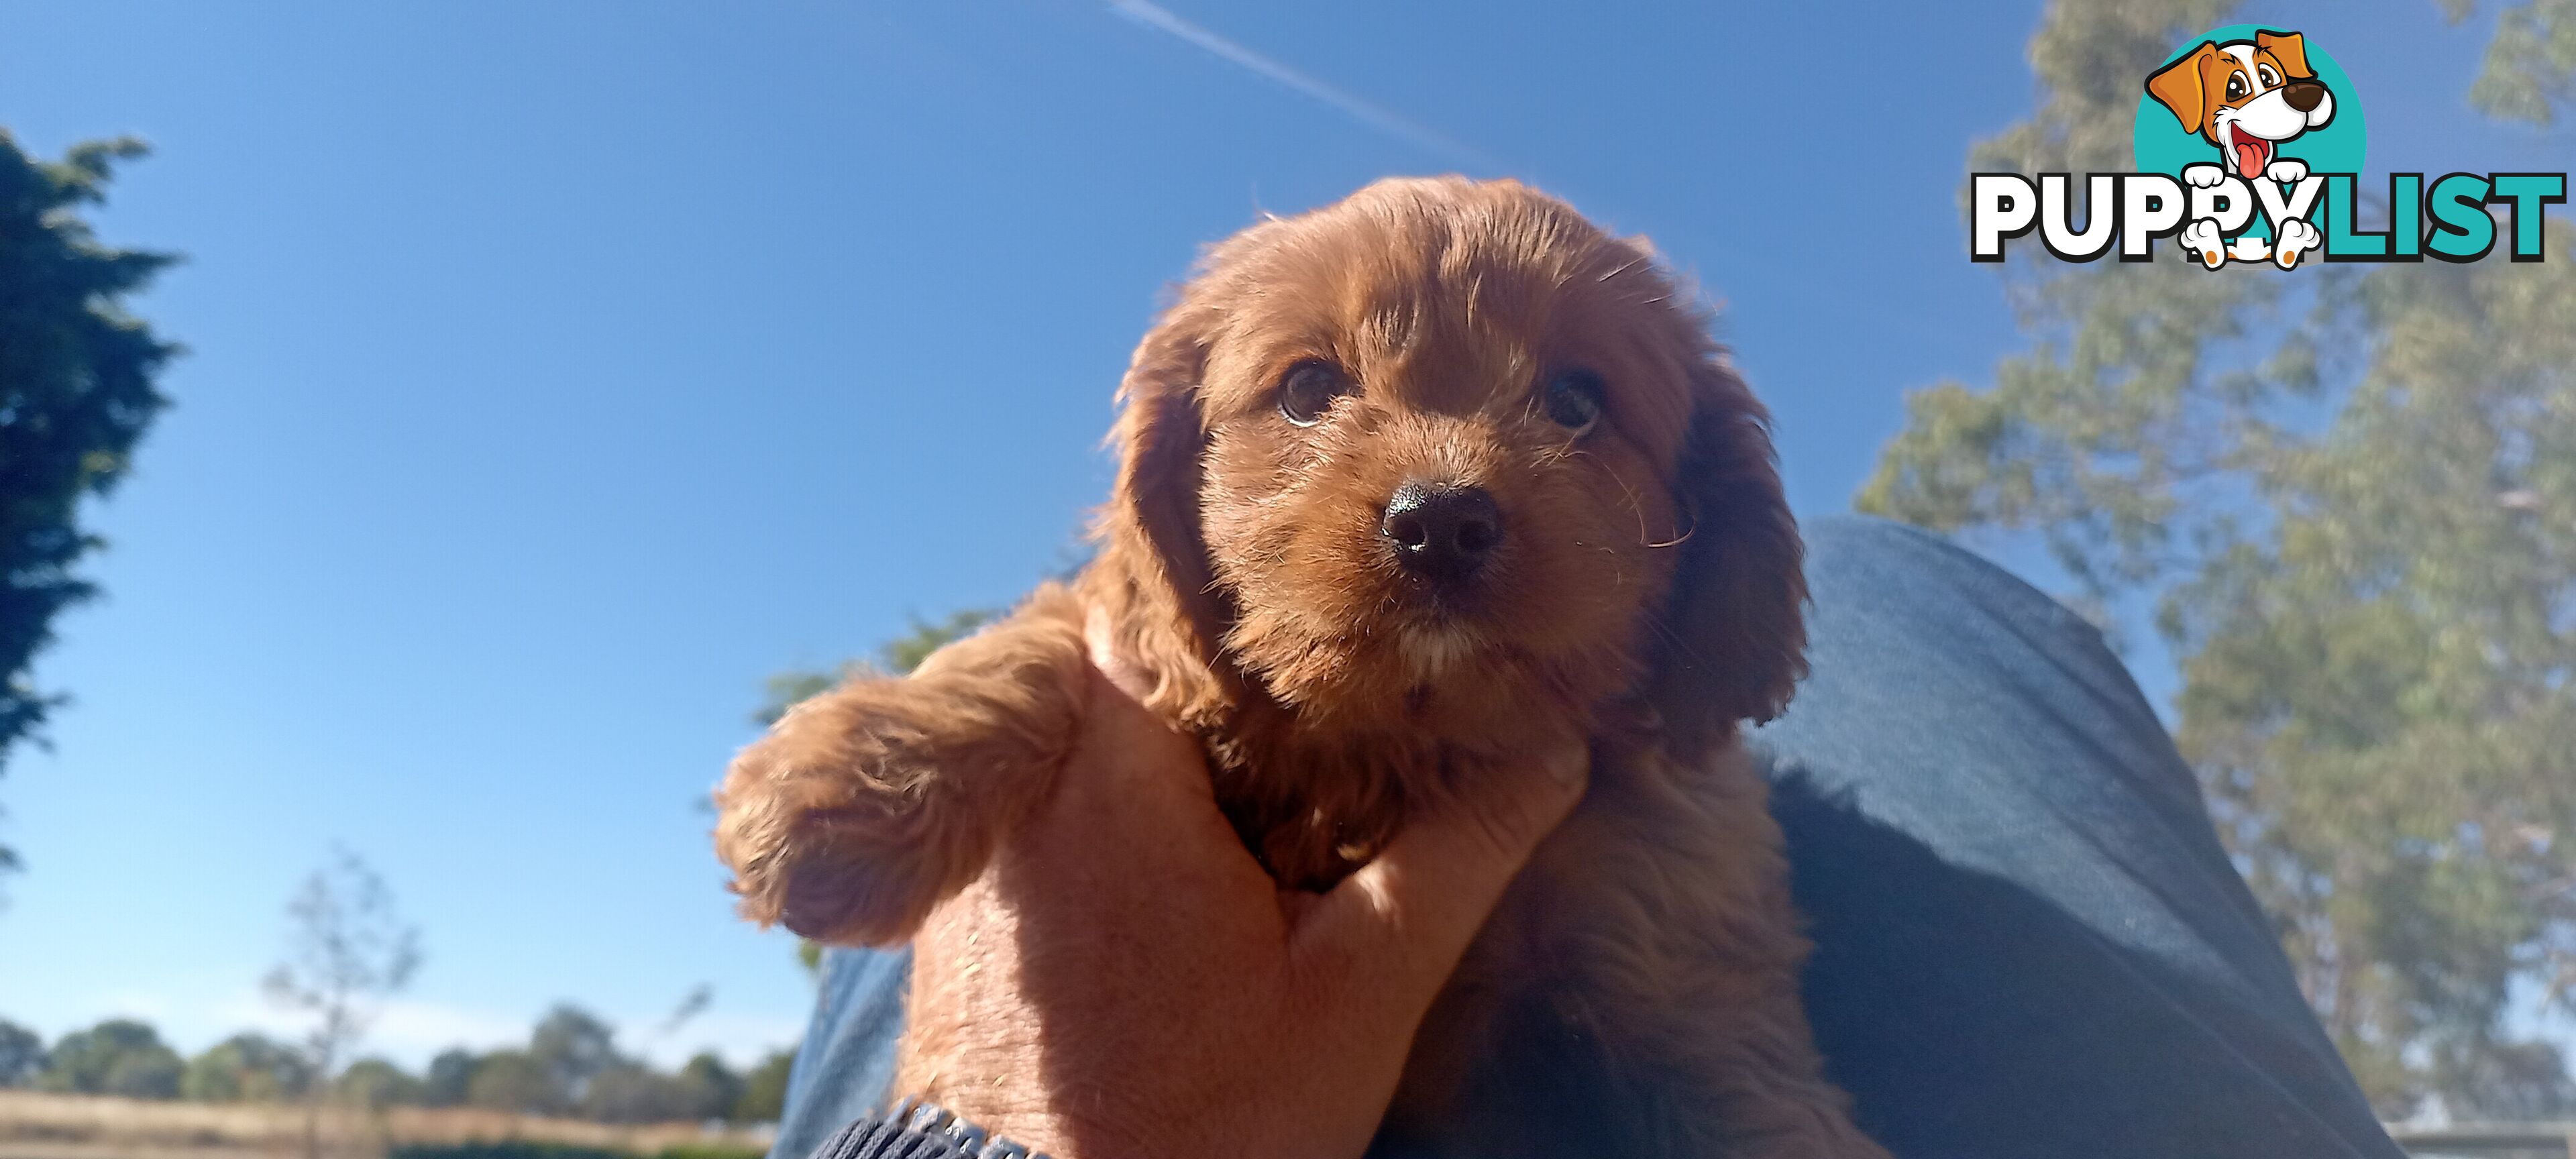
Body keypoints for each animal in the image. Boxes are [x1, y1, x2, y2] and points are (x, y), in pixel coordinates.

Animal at [716, 174, 1885, 1159]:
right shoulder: (1141, 644)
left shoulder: (1687, 956)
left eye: (1578, 402)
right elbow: (1045, 639)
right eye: (1308, 387)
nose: (1442, 522)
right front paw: (833, 791)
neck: (1400, 749)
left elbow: (1761, 1103)